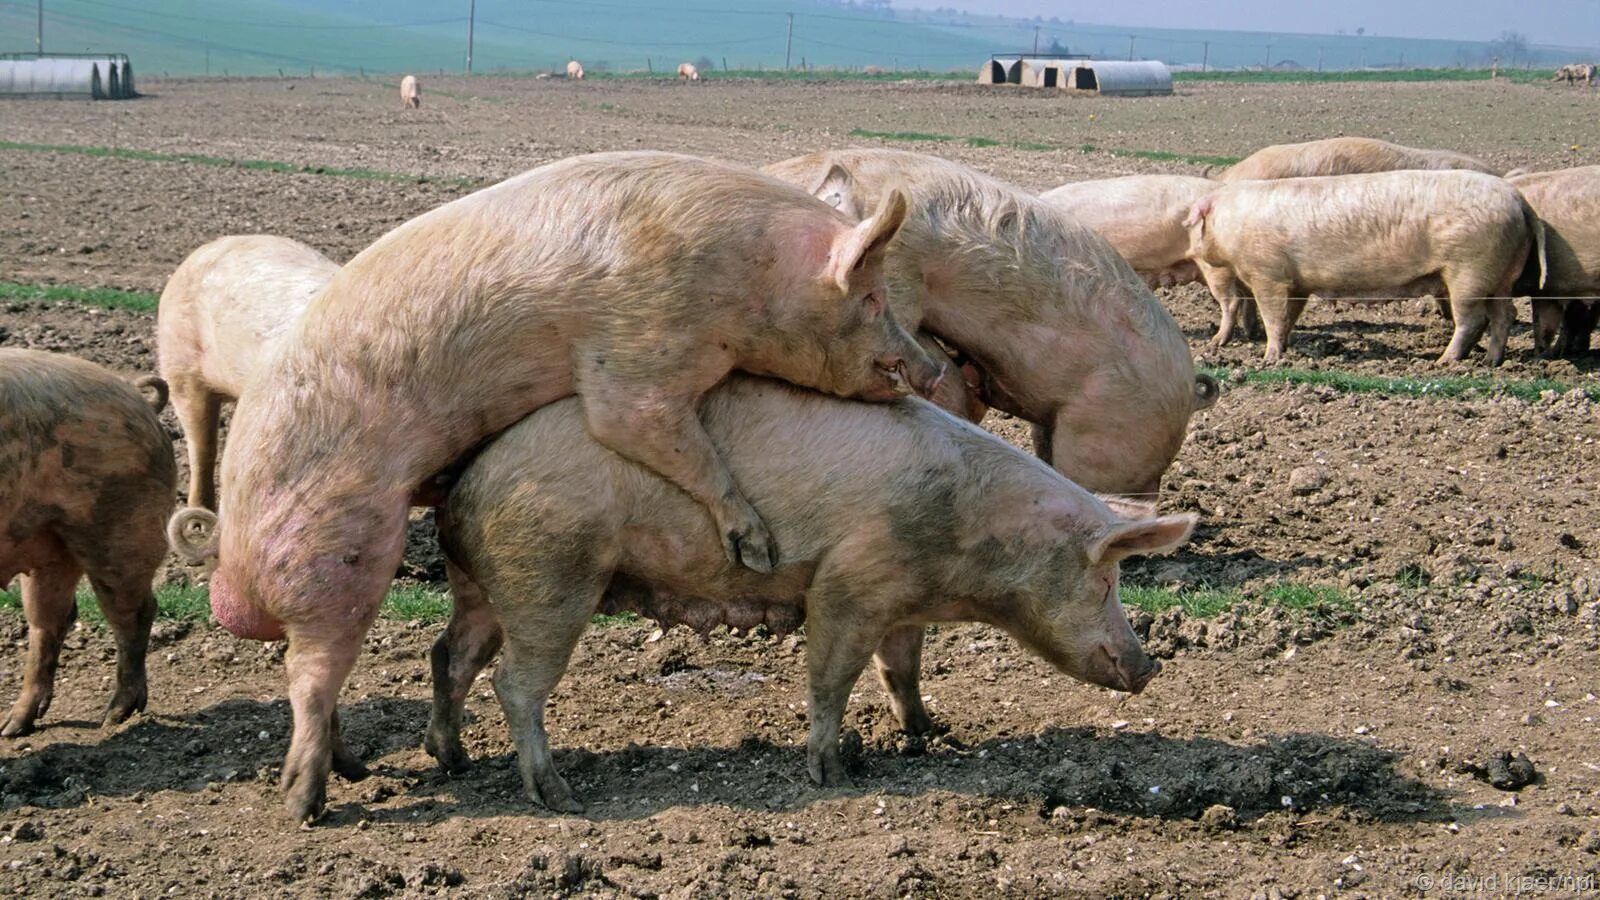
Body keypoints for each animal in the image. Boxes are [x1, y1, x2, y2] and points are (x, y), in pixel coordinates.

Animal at [0, 350, 176, 736]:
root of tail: (137, 395)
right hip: (50, 545)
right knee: (51, 621)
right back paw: (13, 727)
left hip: (119, 532)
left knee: (136, 612)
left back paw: (113, 719)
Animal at [179, 151, 942, 823]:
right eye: (873, 297)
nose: (933, 367)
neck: (747, 277)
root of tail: (230, 560)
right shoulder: (639, 351)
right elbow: (658, 434)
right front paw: (756, 546)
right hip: (337, 553)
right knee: (309, 675)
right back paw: (308, 804)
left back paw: (398, 765)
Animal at [425, 375, 1195, 808]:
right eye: (1106, 578)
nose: (1152, 665)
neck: (969, 543)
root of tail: (463, 493)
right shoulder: (852, 578)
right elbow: (832, 675)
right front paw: (834, 774)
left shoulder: (903, 597)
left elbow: (902, 668)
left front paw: (930, 733)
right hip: (551, 574)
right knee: (513, 682)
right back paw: (558, 797)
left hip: (480, 588)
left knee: (449, 655)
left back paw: (451, 759)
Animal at [1185, 170, 1546, 366]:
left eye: (1194, 223)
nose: (1188, 250)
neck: (1232, 221)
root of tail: (1518, 200)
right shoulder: (1297, 283)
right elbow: (1289, 317)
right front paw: (1285, 348)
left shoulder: (1268, 274)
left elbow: (1273, 315)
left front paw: (1269, 358)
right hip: (1501, 274)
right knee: (1505, 314)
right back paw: (1491, 360)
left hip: (1469, 269)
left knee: (1473, 319)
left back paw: (1444, 361)